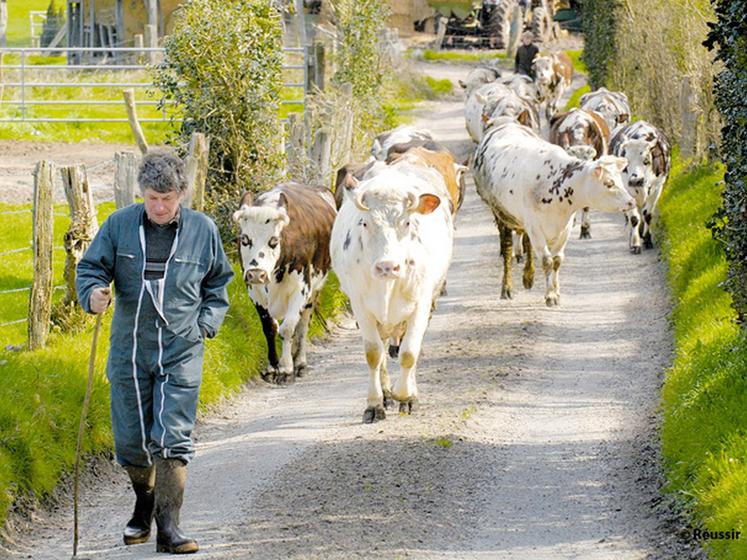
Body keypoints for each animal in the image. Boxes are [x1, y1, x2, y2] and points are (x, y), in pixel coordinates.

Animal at [234, 184, 336, 384]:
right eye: (245, 239)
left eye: (273, 241)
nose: (256, 273)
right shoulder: (254, 291)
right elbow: (270, 328)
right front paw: (272, 367)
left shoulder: (301, 288)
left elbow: (288, 328)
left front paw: (286, 368)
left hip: (314, 291)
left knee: (303, 324)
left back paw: (300, 362)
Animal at [332, 160, 456, 422]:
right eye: (365, 223)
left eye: (407, 223)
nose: (387, 266)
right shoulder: (360, 306)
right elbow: (373, 354)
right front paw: (375, 403)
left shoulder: (421, 304)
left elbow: (409, 352)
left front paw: (406, 396)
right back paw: (386, 393)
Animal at [612, 122, 676, 256]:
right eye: (626, 161)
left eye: (646, 160)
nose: (635, 180)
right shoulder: (627, 190)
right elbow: (634, 218)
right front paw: (635, 244)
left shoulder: (657, 188)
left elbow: (647, 214)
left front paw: (647, 240)